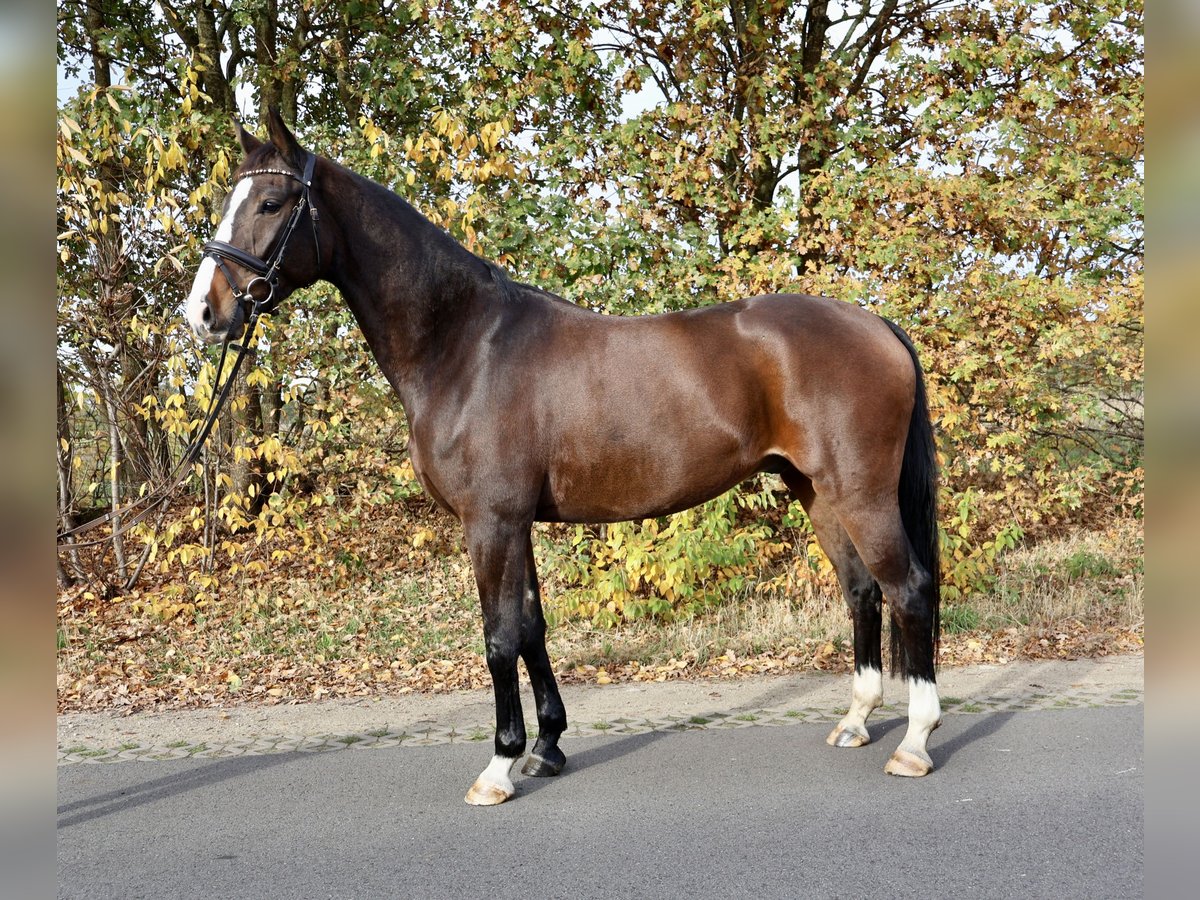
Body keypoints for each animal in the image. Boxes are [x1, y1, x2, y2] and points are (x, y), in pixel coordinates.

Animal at [185, 108, 942, 805]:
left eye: (271, 202)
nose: (203, 312)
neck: (465, 345)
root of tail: (875, 324)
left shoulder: (490, 522)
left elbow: (498, 637)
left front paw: (498, 765)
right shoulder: (516, 522)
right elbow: (532, 629)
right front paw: (546, 747)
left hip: (861, 492)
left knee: (908, 588)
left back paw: (914, 742)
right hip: (815, 489)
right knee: (862, 589)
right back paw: (856, 720)